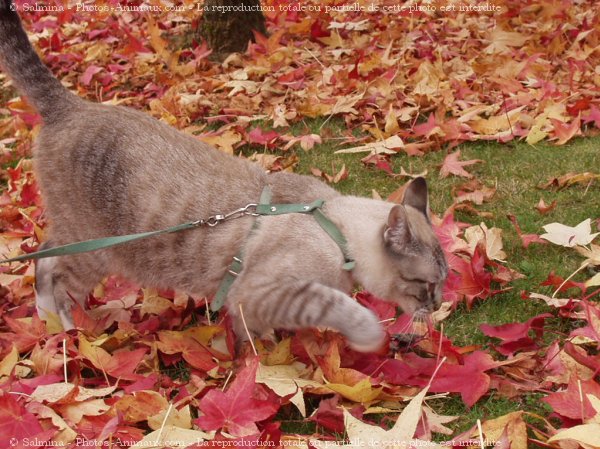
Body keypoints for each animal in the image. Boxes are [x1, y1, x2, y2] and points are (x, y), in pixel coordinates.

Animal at [0, 1, 448, 352]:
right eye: (428, 285)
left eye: (444, 283)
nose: (438, 305)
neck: (333, 225)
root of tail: (71, 106)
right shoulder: (265, 292)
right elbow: (339, 308)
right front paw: (367, 336)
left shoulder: (254, 305)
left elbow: (255, 336)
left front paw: (264, 355)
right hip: (94, 249)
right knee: (51, 271)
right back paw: (65, 332)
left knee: (44, 254)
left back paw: (50, 325)